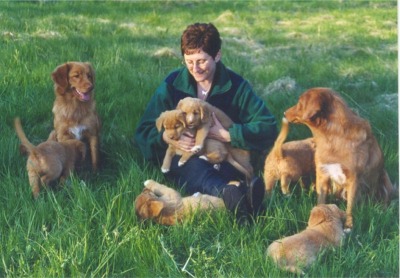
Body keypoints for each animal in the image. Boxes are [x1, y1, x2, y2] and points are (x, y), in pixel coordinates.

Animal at [284, 87, 396, 230]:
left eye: (299, 103)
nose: (284, 113)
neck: (332, 136)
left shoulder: (354, 179)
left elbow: (350, 207)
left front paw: (349, 225)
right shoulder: (322, 174)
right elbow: (321, 200)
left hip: (384, 178)